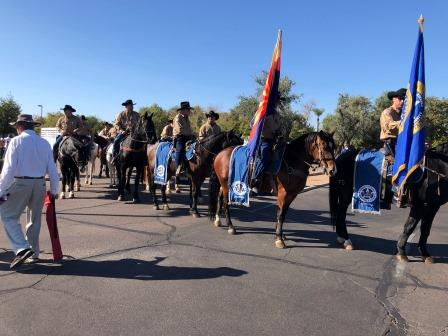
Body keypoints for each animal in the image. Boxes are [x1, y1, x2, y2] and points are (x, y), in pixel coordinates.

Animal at [206, 131, 336, 249]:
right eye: (324, 146)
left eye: (334, 147)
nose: (332, 170)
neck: (292, 160)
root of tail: (220, 153)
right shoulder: (283, 193)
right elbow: (281, 215)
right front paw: (279, 238)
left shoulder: (291, 195)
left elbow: (281, 213)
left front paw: (280, 234)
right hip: (226, 184)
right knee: (225, 202)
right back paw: (231, 227)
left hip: (225, 184)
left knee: (219, 197)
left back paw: (218, 220)